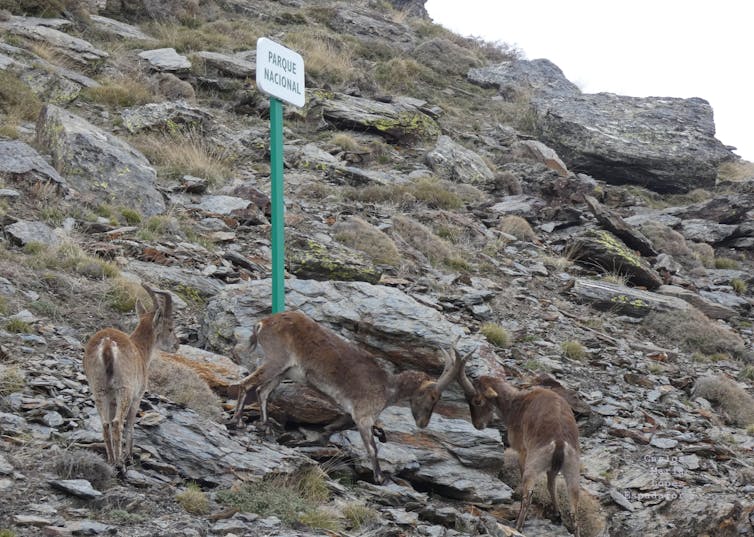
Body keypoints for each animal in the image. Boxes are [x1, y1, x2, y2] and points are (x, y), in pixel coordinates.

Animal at [83, 283, 177, 475]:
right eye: (170, 327)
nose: (176, 346)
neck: (141, 350)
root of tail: (107, 345)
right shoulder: (137, 397)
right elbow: (130, 426)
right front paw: (129, 457)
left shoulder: (111, 400)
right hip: (124, 389)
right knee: (118, 423)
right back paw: (120, 464)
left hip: (99, 389)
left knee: (105, 424)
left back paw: (111, 460)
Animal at [231, 310, 469, 484]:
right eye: (433, 397)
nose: (422, 423)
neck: (387, 387)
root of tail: (264, 322)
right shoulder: (363, 416)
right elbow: (372, 447)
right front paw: (379, 477)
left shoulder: (350, 414)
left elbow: (333, 428)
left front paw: (311, 441)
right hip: (276, 360)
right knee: (246, 385)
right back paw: (239, 422)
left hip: (283, 370)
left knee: (262, 391)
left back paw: (266, 427)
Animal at [458, 366, 581, 536]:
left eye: (477, 401)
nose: (477, 425)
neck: (515, 405)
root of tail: (560, 442)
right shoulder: (552, 468)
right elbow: (552, 485)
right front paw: (556, 515)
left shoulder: (522, 451)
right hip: (572, 467)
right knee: (573, 505)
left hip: (535, 463)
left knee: (528, 493)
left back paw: (518, 525)